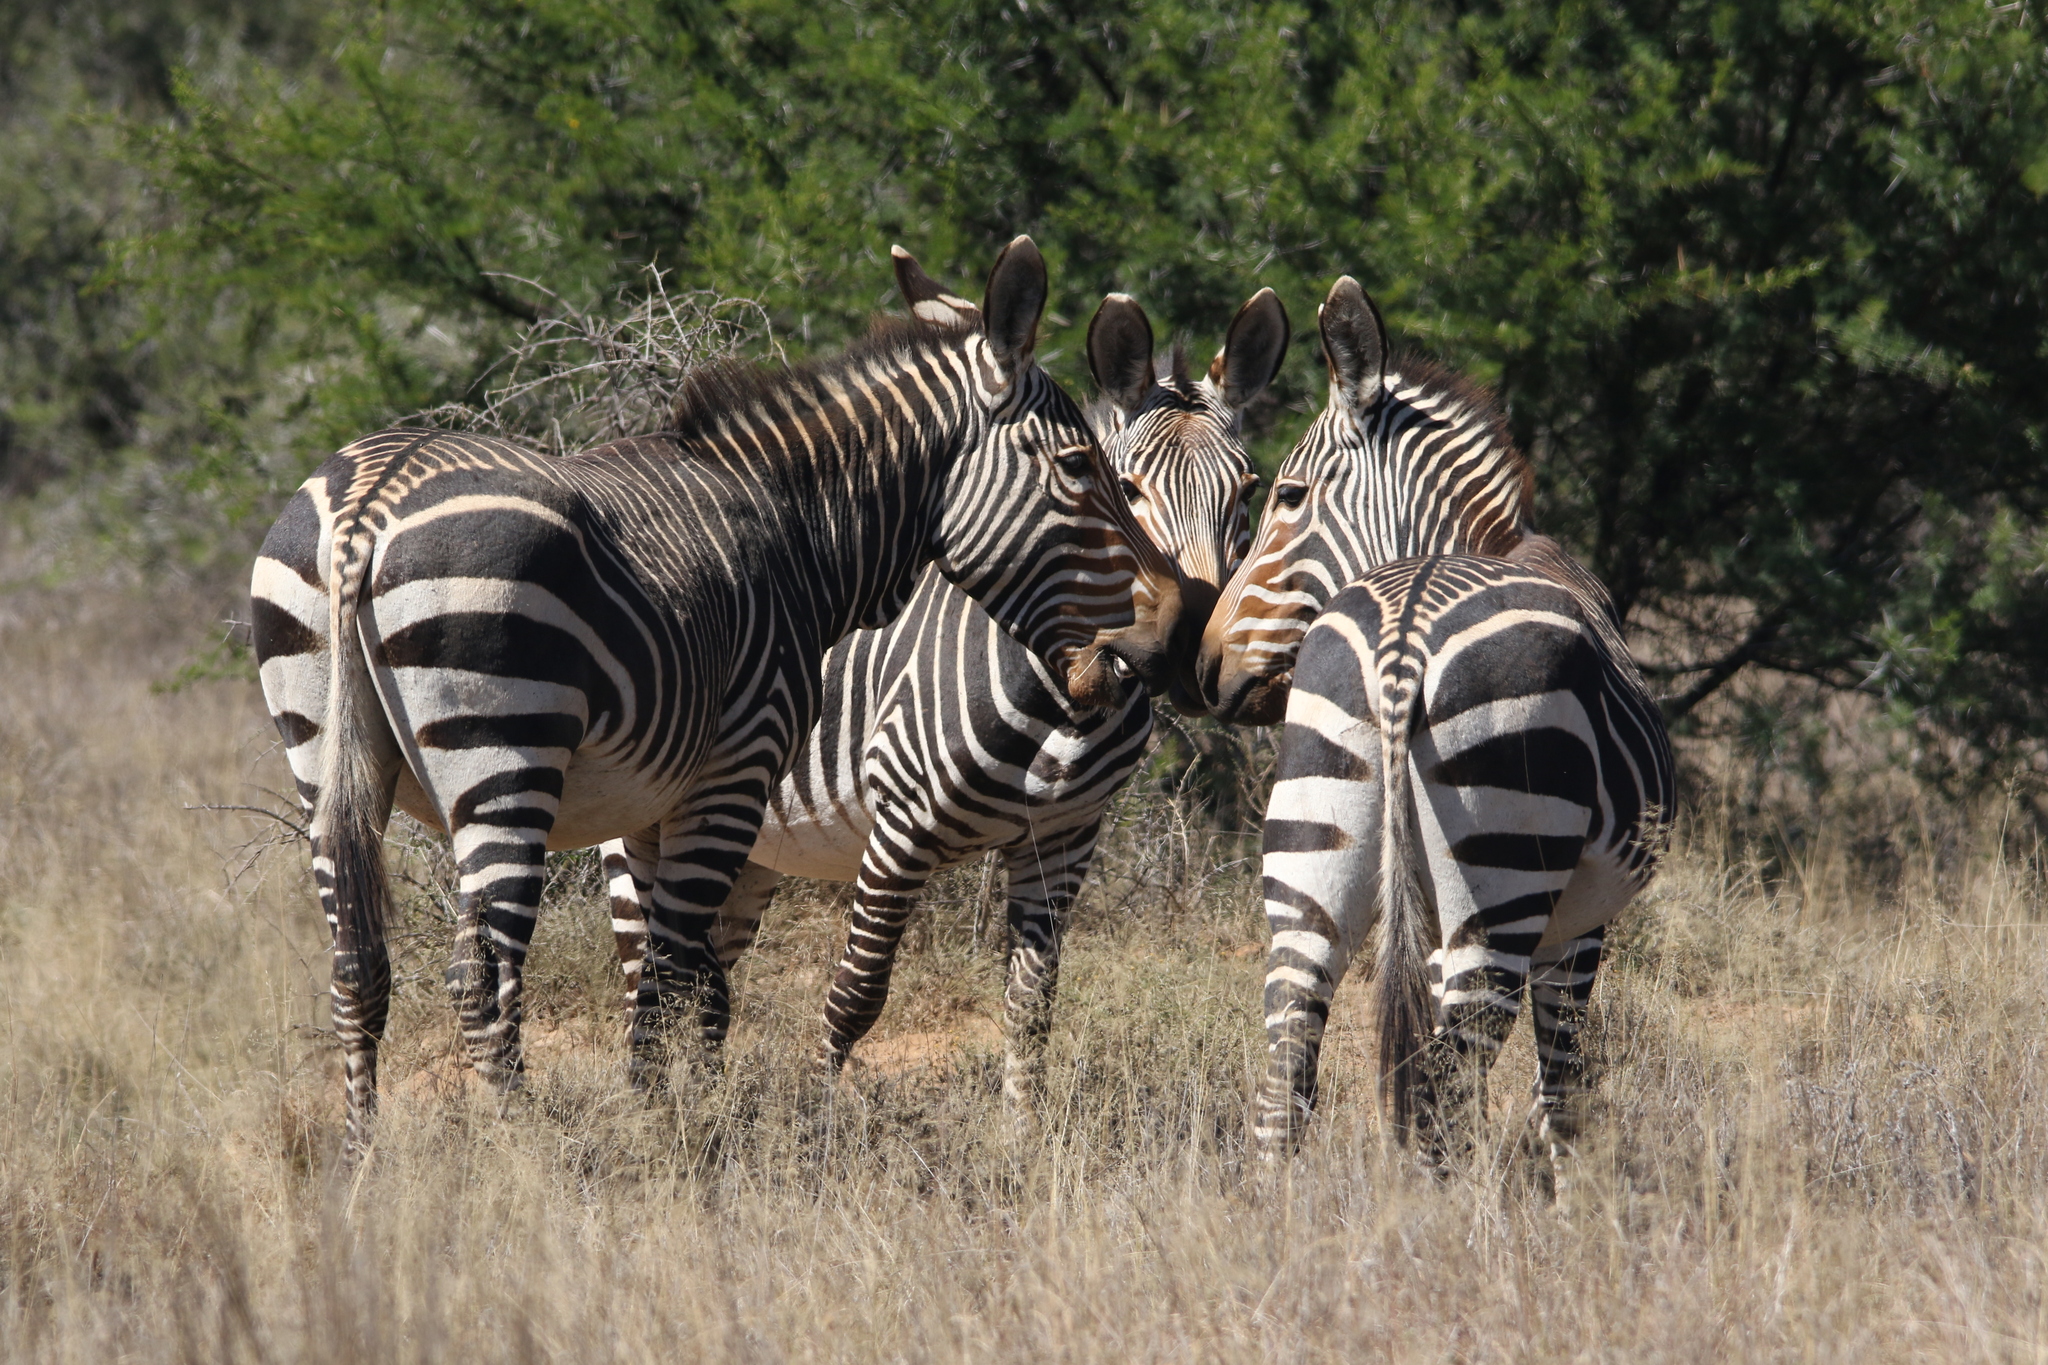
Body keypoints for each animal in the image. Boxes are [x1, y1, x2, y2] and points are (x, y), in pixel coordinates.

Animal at [251, 237, 1187, 1154]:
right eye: (1079, 466)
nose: (1170, 627)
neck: (798, 531)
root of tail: (369, 505)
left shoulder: (652, 801)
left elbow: (675, 982)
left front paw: (662, 1115)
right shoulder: (733, 772)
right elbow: (673, 976)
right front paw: (663, 1142)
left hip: (324, 754)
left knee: (358, 967)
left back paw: (362, 1158)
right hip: (504, 751)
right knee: (482, 979)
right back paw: (524, 1150)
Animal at [598, 288, 1286, 1113]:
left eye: (1249, 491)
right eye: (1128, 489)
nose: (1186, 652)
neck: (1062, 708)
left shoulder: (1064, 838)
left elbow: (1031, 1004)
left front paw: (1021, 1131)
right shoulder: (901, 827)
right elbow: (856, 995)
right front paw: (820, 1119)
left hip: (752, 841)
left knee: (706, 980)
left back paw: (702, 1108)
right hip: (640, 815)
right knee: (646, 977)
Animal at [1196, 274, 1671, 1178]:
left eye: (1285, 496)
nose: (1204, 666)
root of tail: (1403, 636)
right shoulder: (1579, 927)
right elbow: (1561, 1087)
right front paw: (1572, 1193)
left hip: (1311, 844)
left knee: (1289, 1068)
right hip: (1503, 868)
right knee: (1447, 1090)